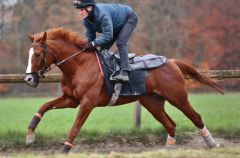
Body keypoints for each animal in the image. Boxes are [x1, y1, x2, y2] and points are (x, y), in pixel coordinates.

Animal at [23, 27, 223, 152]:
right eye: (29, 54)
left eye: (38, 54)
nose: (28, 79)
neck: (79, 65)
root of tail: (172, 62)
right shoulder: (71, 99)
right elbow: (43, 107)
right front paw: (30, 135)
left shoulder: (87, 103)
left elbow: (75, 127)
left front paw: (65, 149)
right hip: (152, 102)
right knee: (170, 124)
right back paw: (169, 148)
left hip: (178, 97)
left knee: (196, 117)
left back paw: (213, 144)